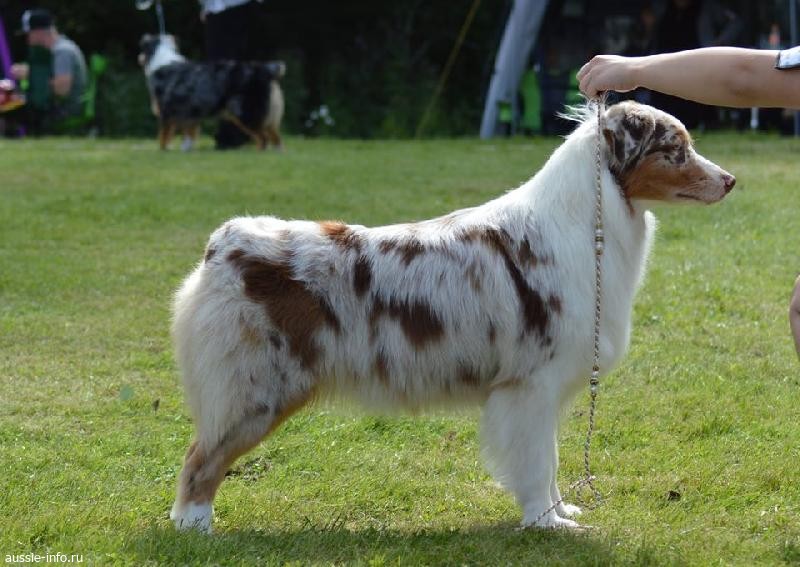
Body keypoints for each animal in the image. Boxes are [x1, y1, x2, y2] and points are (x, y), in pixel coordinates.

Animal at [138, 34, 285, 151]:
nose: (139, 57)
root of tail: (263, 69)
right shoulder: (190, 113)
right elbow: (189, 132)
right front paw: (186, 148)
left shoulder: (166, 110)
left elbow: (164, 134)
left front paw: (163, 150)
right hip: (265, 114)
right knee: (275, 135)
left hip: (245, 111)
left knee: (263, 137)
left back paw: (259, 152)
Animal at [169, 101, 735, 532]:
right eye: (676, 149)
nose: (730, 180)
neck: (585, 223)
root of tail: (223, 245)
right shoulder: (530, 385)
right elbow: (537, 462)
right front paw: (547, 524)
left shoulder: (546, 389)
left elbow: (551, 461)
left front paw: (560, 511)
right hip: (256, 390)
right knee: (200, 458)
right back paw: (196, 526)